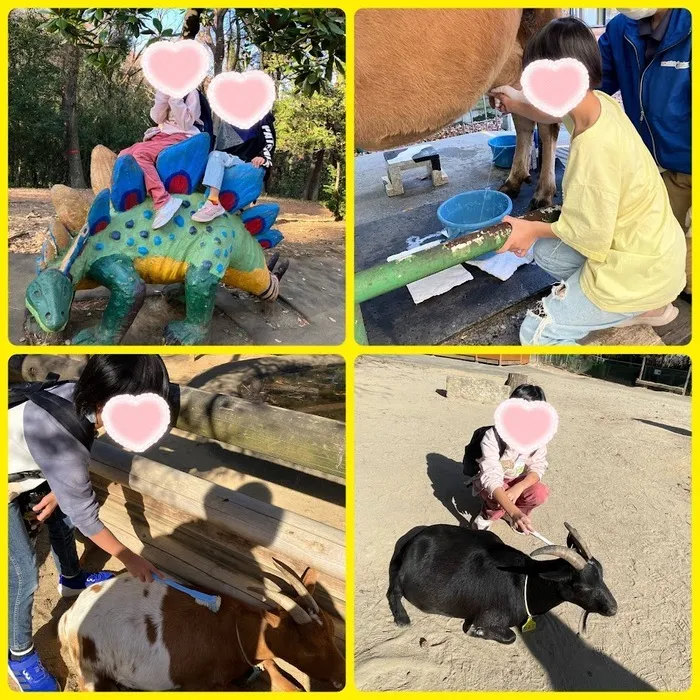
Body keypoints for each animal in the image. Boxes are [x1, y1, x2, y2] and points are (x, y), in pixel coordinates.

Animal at [59, 556, 344, 688]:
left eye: (332, 632)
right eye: (308, 648)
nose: (341, 678)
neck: (234, 631)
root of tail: (68, 616)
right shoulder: (198, 685)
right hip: (89, 673)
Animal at [388, 520, 616, 644]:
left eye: (602, 576)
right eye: (581, 586)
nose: (613, 608)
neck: (525, 584)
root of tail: (414, 541)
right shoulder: (487, 617)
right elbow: (508, 636)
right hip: (403, 578)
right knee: (393, 591)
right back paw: (402, 618)